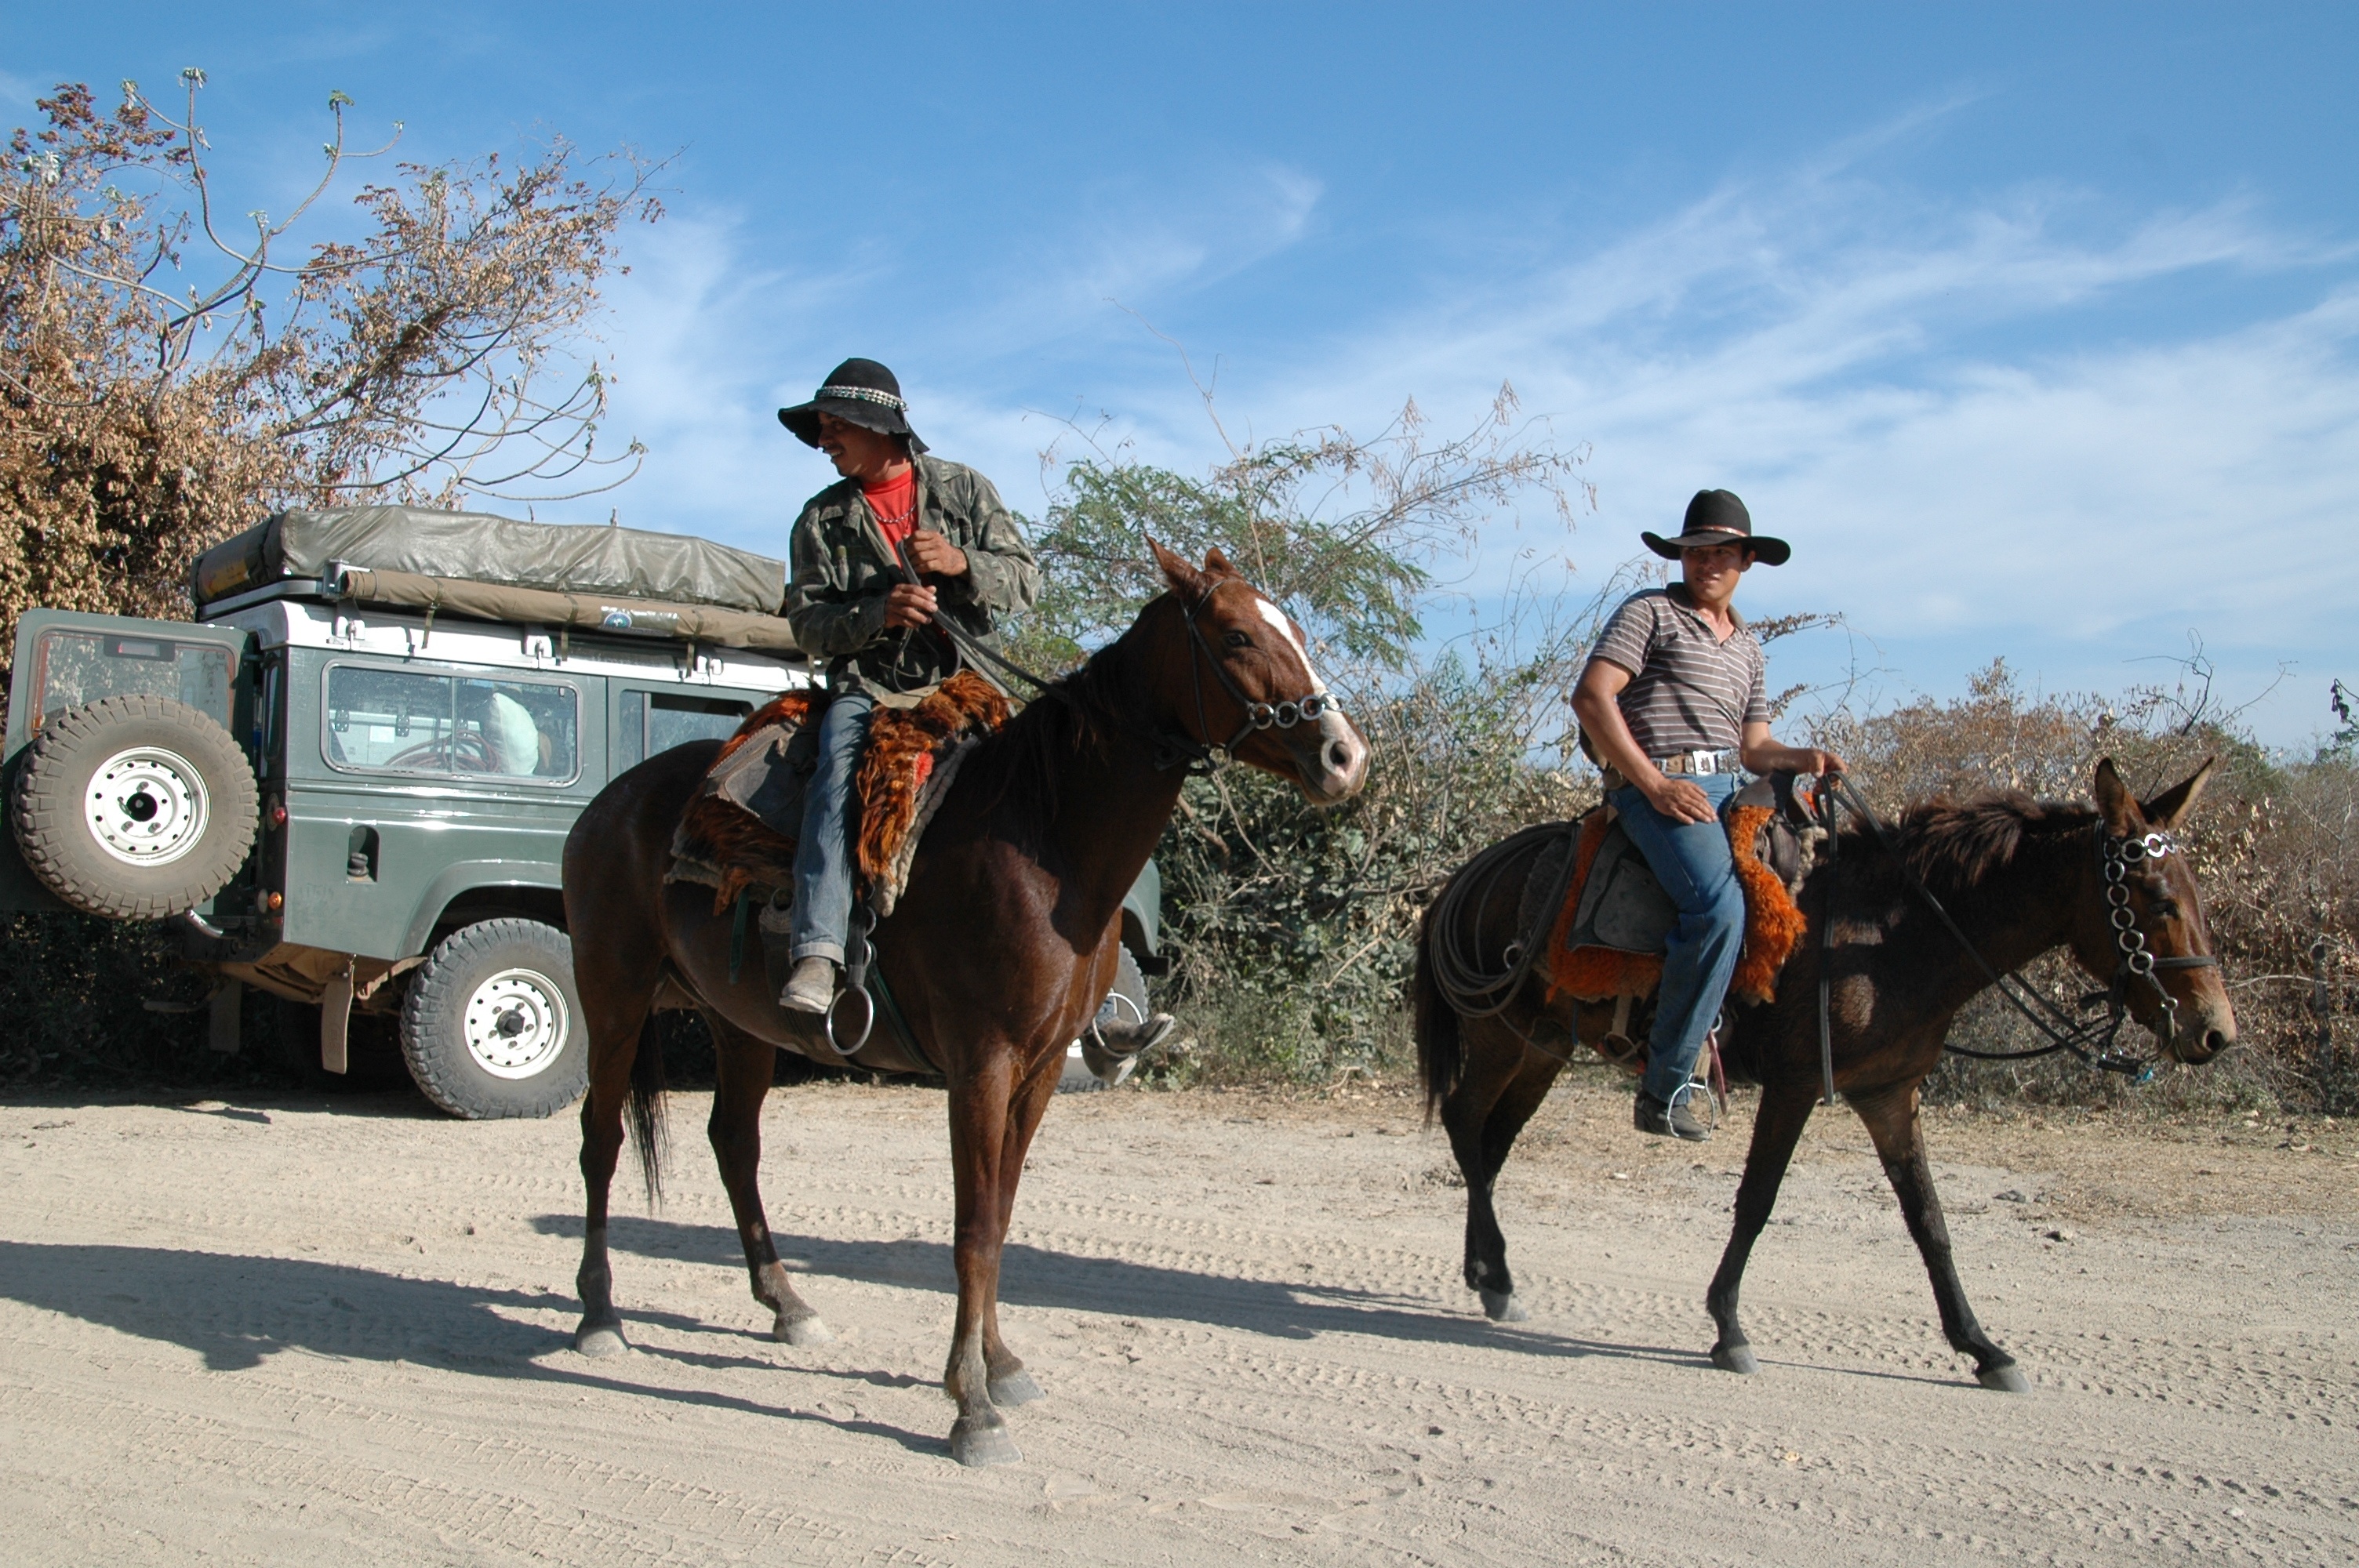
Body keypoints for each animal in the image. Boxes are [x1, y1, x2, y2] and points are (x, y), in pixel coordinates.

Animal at [561, 541, 1369, 1466]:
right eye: (1235, 635)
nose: (1345, 757)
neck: (1045, 840)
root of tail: (611, 803)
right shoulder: (980, 1066)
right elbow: (973, 1228)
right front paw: (971, 1406)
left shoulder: (1042, 1068)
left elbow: (1000, 1214)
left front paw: (996, 1364)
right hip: (613, 996)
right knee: (601, 1141)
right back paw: (598, 1315)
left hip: (740, 1025)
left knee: (734, 1143)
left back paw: (788, 1305)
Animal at [1412, 757, 2235, 1389]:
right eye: (2156, 900)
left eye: (2195, 895)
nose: (2215, 1032)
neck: (1890, 936)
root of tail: (1468, 875)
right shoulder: (1797, 1085)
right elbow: (1757, 1203)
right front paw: (1729, 1329)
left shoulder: (1890, 1095)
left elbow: (1930, 1222)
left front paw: (1983, 1348)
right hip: (1500, 1035)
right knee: (1465, 1124)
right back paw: (1498, 1279)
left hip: (1544, 1045)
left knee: (1490, 1142)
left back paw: (1486, 1276)